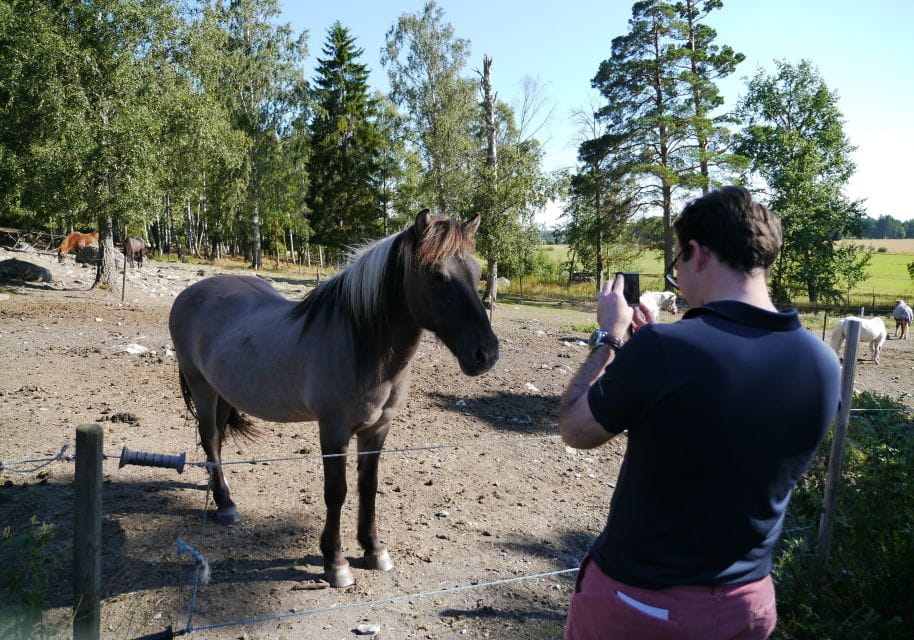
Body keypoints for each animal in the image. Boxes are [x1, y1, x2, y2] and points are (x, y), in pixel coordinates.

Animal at [169, 210, 499, 588]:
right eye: (436, 276)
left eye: (476, 273)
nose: (486, 354)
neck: (361, 345)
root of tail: (190, 293)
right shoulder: (334, 430)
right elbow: (336, 491)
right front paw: (335, 562)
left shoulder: (377, 429)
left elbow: (368, 487)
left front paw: (374, 550)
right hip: (202, 387)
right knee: (209, 437)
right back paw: (225, 505)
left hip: (223, 390)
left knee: (217, 441)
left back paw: (219, 492)